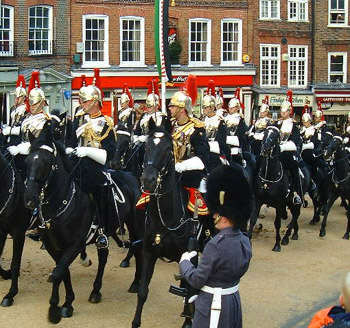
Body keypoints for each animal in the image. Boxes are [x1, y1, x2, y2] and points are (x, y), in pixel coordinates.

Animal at [24, 133, 142, 322]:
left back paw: (136, 283)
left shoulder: (75, 245)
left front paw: (54, 309)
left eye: (47, 162)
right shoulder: (53, 247)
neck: (62, 203)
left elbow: (57, 273)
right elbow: (62, 271)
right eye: (27, 161)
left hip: (134, 224)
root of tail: (132, 176)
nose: (29, 199)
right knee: (103, 257)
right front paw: (67, 303)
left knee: (137, 249)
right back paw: (96, 291)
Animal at [131, 118, 213, 328]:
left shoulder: (190, 255)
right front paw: (135, 322)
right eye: (147, 146)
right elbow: (143, 291)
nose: (148, 181)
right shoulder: (149, 252)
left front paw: (189, 321)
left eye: (168, 149)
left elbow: (190, 292)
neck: (166, 217)